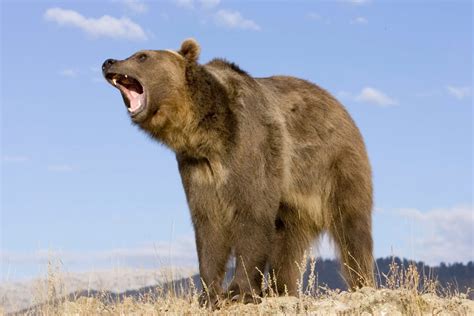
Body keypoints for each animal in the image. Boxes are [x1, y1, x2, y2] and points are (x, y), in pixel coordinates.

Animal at [103, 39, 374, 306]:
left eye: (142, 56)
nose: (108, 61)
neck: (205, 134)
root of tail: (337, 104)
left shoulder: (250, 145)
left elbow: (252, 215)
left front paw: (239, 291)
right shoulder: (197, 168)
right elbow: (208, 226)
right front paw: (209, 294)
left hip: (333, 165)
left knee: (352, 226)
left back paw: (361, 282)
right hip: (294, 201)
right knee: (287, 241)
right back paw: (281, 289)